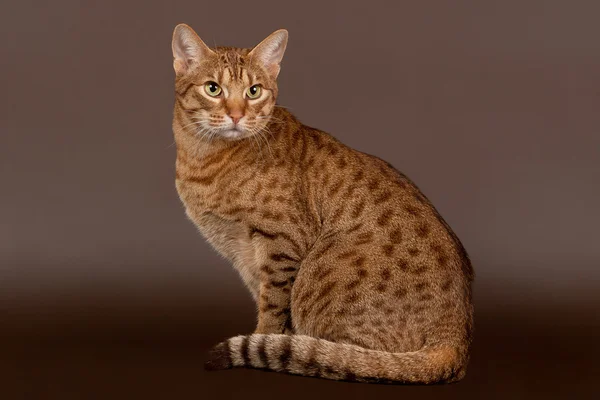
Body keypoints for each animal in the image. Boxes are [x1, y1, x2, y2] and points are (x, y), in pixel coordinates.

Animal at [171, 22, 476, 384]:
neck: (204, 160)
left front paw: (264, 339)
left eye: (254, 91)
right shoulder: (244, 255)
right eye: (213, 89)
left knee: (357, 359)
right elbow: (267, 302)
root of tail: (456, 340)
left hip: (318, 274)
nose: (236, 114)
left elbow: (273, 308)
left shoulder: (281, 243)